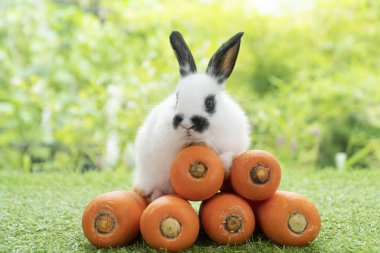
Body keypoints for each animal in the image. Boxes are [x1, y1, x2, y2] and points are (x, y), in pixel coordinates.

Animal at [132, 31, 251, 202]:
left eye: (209, 102)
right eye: (177, 98)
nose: (187, 125)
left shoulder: (235, 143)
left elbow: (228, 153)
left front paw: (224, 164)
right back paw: (154, 194)